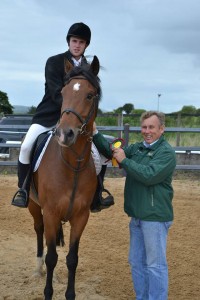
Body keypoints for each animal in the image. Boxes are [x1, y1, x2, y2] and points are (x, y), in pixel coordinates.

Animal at [28, 56, 101, 300]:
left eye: (90, 95)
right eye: (62, 92)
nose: (65, 134)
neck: (72, 166)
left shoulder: (81, 216)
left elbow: (72, 259)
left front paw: (69, 294)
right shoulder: (51, 213)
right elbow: (52, 258)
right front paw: (48, 292)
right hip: (33, 205)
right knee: (39, 229)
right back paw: (38, 268)